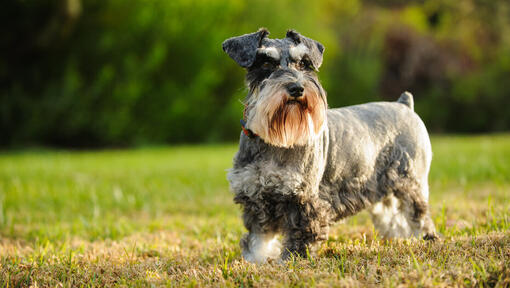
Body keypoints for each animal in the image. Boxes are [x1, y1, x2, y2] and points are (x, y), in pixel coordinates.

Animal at [223, 28, 438, 264]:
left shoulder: (303, 200)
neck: (272, 141)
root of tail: (404, 105)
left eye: (304, 63)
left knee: (419, 217)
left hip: (410, 183)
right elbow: (258, 239)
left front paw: (289, 262)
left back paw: (426, 240)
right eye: (266, 63)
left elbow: (300, 237)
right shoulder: (255, 197)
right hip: (383, 191)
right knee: (394, 219)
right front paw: (254, 262)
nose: (297, 88)